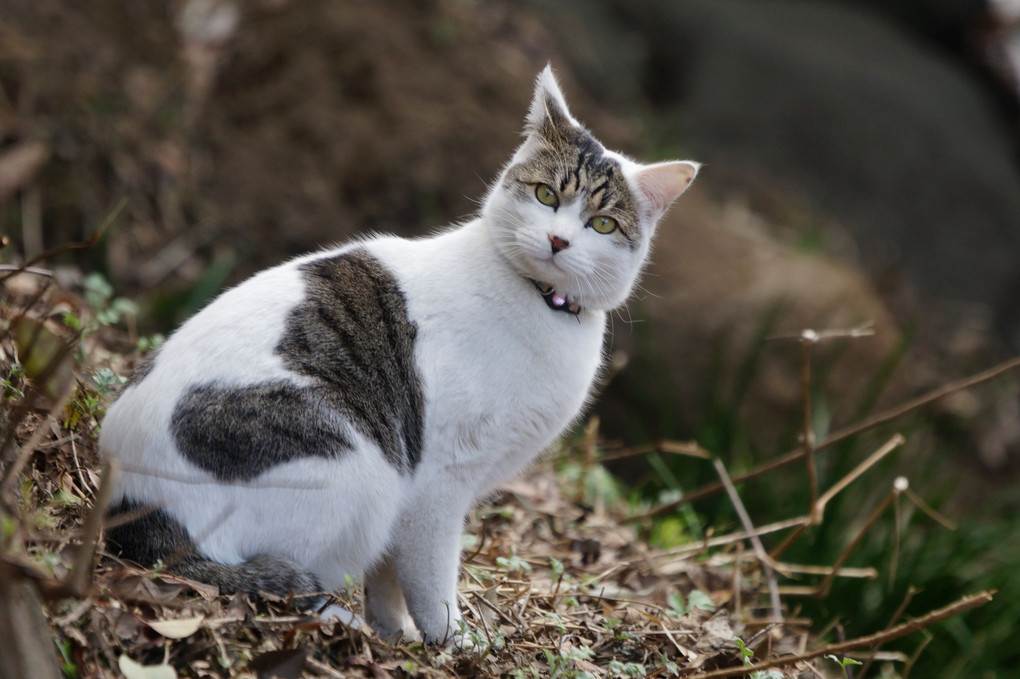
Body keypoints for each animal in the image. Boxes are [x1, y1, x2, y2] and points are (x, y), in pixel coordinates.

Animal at [99, 66, 697, 644]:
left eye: (602, 224)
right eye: (547, 195)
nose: (558, 241)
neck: (539, 301)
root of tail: (128, 510)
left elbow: (388, 577)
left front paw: (397, 633)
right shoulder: (435, 484)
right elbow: (430, 577)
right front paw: (450, 639)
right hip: (363, 472)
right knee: (282, 581)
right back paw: (337, 620)